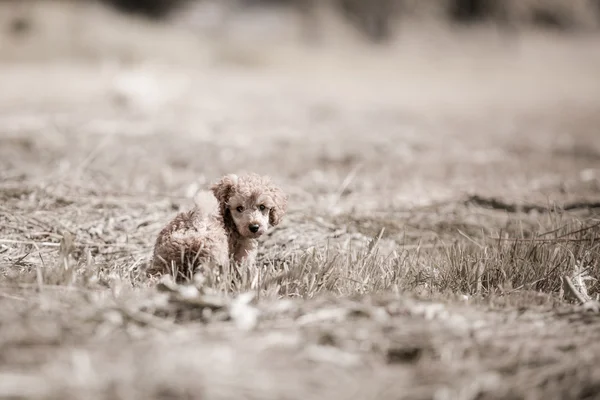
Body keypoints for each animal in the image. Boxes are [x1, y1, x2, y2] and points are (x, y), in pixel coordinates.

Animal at [149, 173, 288, 282]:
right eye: (239, 208)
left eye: (262, 207)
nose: (254, 227)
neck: (229, 222)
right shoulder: (243, 253)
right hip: (213, 257)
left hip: (165, 261)